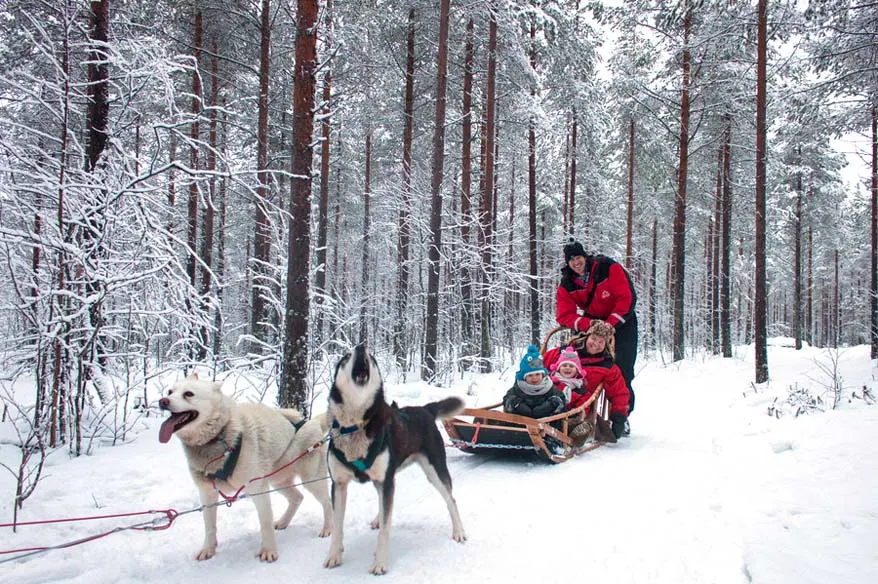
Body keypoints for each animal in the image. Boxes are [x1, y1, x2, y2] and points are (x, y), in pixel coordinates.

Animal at [158, 374, 334, 560]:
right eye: (170, 391)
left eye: (188, 394)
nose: (163, 401)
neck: (218, 438)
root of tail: (311, 422)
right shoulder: (207, 493)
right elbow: (209, 526)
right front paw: (208, 549)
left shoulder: (258, 489)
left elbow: (265, 523)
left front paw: (269, 550)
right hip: (277, 481)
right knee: (297, 497)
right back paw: (283, 521)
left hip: (311, 480)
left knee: (327, 502)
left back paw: (328, 527)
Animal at [324, 342, 468, 576]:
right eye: (346, 356)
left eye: (373, 359)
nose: (361, 345)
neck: (356, 425)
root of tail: (425, 409)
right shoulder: (339, 484)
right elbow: (337, 527)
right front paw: (334, 555)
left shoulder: (386, 481)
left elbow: (385, 529)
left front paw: (380, 563)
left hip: (434, 471)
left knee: (451, 500)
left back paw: (459, 531)